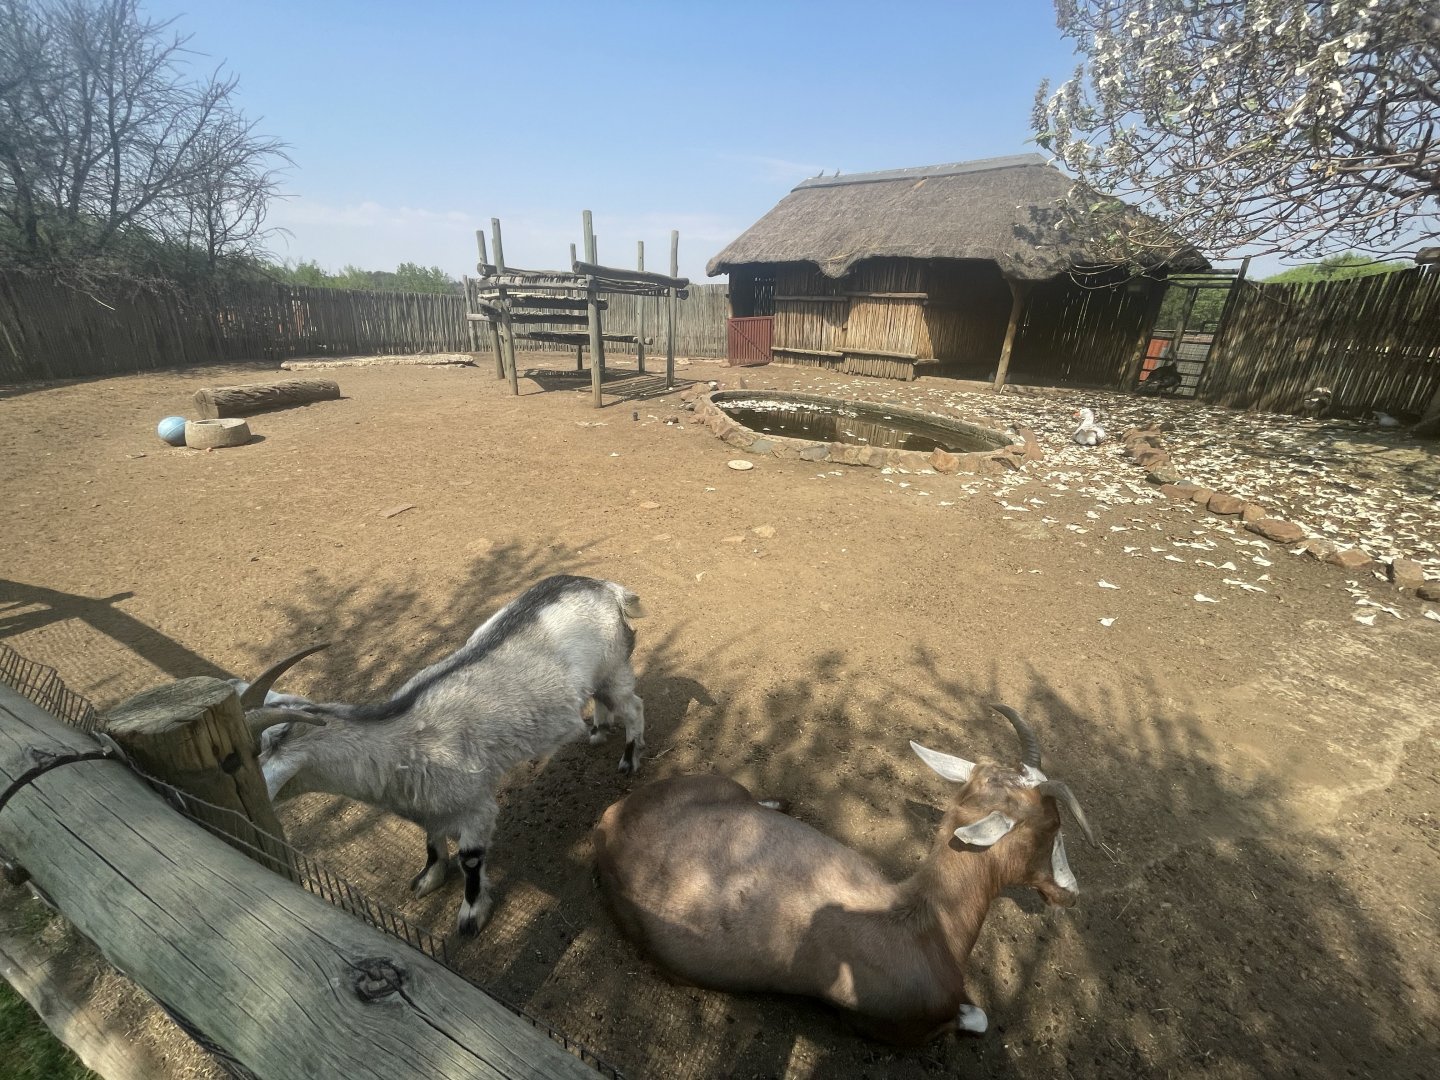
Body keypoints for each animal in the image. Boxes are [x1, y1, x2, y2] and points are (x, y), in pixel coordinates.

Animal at [237, 574, 646, 935]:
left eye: (237, 760)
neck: (400, 740)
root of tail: (608, 589)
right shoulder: (426, 803)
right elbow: (431, 840)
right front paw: (428, 879)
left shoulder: (476, 805)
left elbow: (471, 860)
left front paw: (471, 916)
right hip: (599, 676)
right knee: (603, 699)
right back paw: (597, 730)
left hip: (614, 668)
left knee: (634, 706)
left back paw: (629, 759)